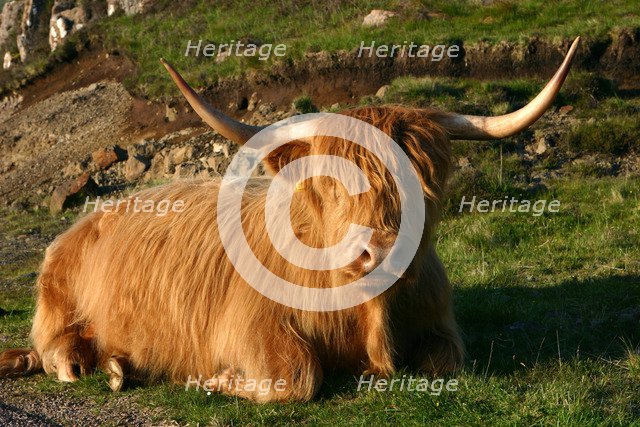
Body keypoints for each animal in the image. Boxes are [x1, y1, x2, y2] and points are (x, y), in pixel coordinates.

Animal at [0, 38, 580, 402]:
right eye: (329, 180)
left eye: (420, 181)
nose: (378, 251)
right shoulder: (248, 327)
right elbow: (299, 376)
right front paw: (215, 381)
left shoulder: (440, 322)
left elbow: (446, 360)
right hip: (57, 303)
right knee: (55, 353)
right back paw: (92, 365)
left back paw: (121, 365)